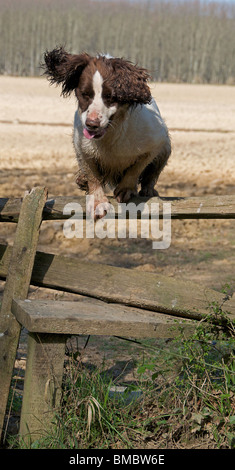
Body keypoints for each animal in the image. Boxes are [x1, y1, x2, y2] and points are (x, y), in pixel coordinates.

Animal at [43, 46, 171, 218]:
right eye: (85, 94)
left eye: (110, 96)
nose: (91, 124)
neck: (111, 134)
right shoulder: (82, 147)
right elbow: (93, 175)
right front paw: (98, 202)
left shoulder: (156, 142)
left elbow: (137, 168)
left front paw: (126, 188)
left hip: (165, 151)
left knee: (151, 175)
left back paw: (148, 191)